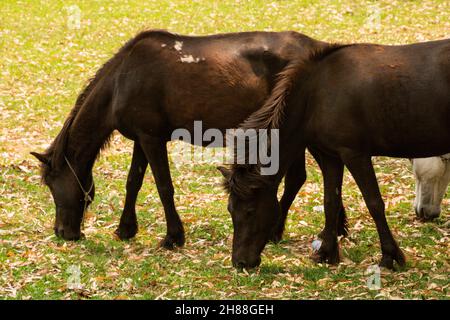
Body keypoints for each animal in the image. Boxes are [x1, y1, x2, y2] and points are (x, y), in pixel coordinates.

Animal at [31, 28, 350, 246]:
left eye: (52, 185)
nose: (62, 232)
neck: (121, 80)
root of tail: (319, 50)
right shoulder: (141, 139)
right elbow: (133, 183)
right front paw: (126, 229)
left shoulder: (152, 139)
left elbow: (163, 186)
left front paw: (173, 236)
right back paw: (334, 228)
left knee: (302, 177)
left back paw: (278, 230)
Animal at [222, 38, 450, 272]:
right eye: (231, 210)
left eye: (249, 211)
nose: (240, 262)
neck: (315, 95)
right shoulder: (331, 156)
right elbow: (330, 201)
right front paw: (326, 252)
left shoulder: (355, 155)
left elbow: (374, 203)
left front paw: (389, 255)